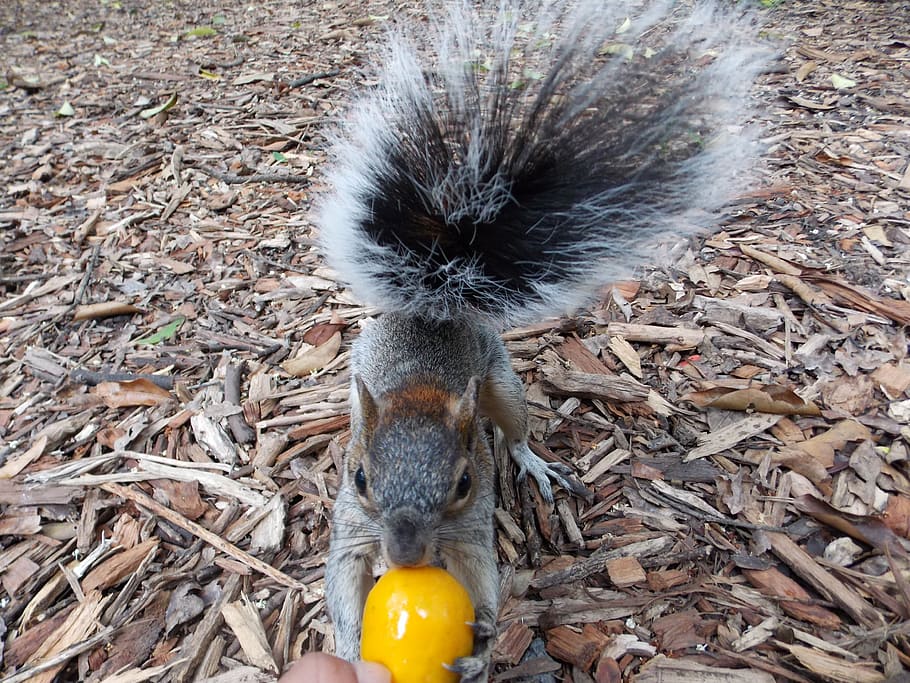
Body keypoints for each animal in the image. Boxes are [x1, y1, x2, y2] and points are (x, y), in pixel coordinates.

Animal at [317, 1, 766, 679]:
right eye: (360, 477)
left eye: (464, 484)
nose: (405, 556)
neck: (419, 392)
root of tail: (437, 310)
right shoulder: (351, 523)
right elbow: (343, 576)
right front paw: (346, 646)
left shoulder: (471, 529)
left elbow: (482, 577)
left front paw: (481, 648)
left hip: (501, 382)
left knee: (515, 424)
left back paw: (531, 460)